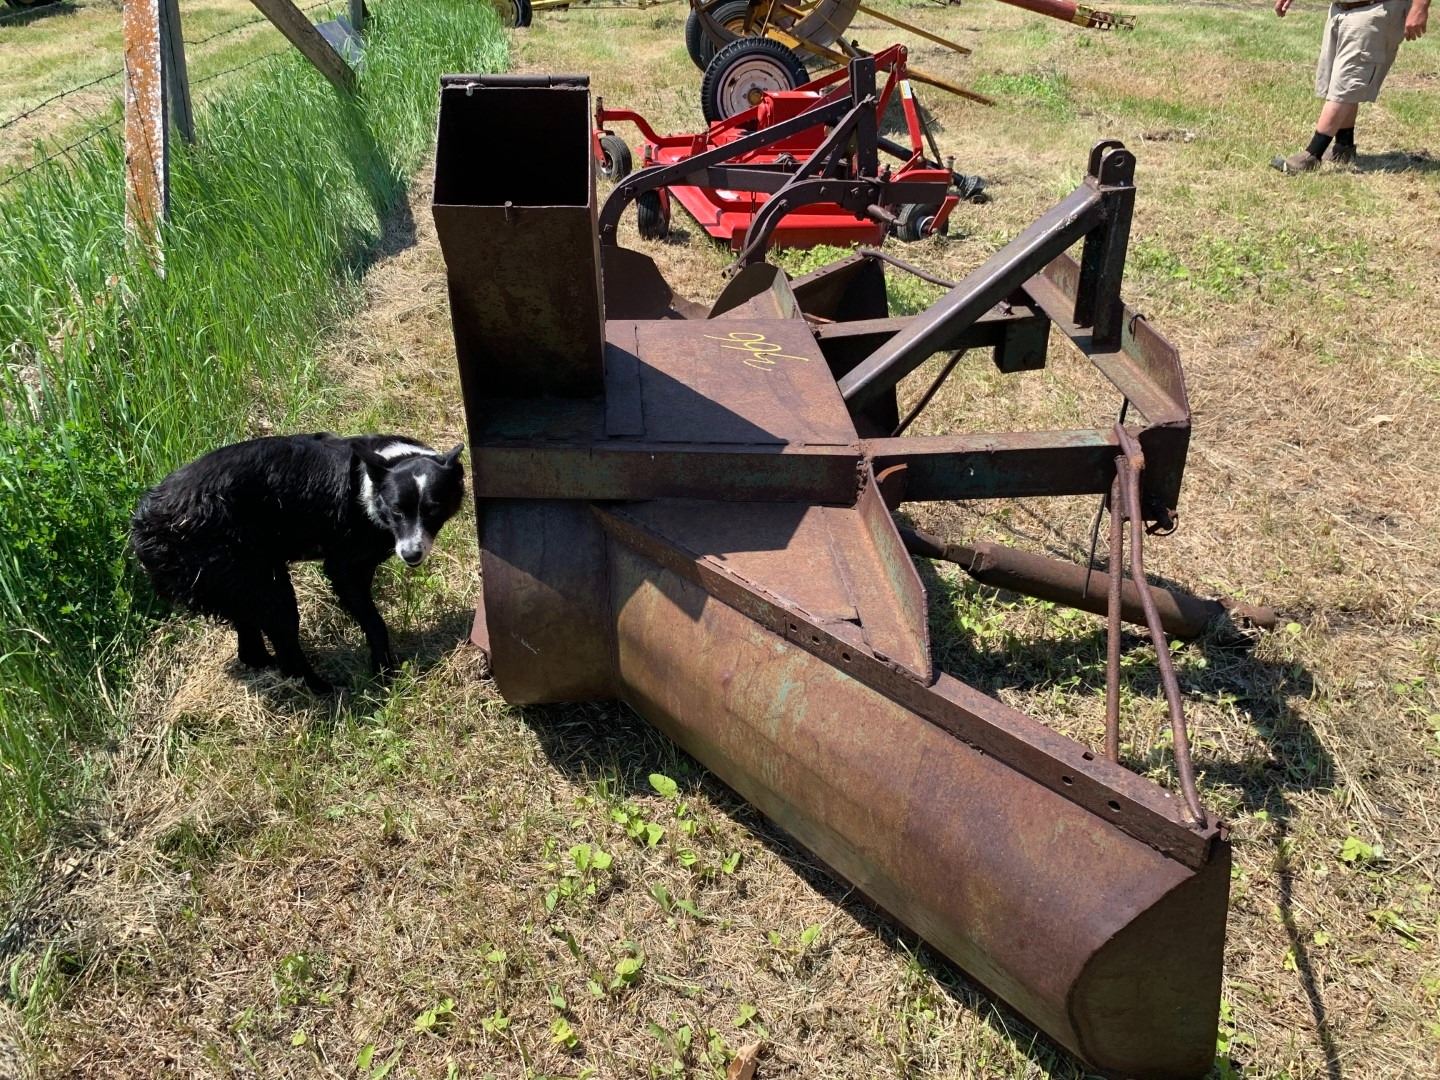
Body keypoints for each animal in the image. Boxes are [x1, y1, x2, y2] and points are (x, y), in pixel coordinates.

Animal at [131, 433, 465, 693]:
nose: (411, 556)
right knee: (287, 648)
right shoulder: (344, 570)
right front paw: (384, 671)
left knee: (250, 641)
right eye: (397, 511)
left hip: (244, 583)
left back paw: (265, 664)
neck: (374, 482)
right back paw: (326, 690)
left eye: (433, 510)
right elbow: (374, 622)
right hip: (269, 588)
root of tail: (146, 522)